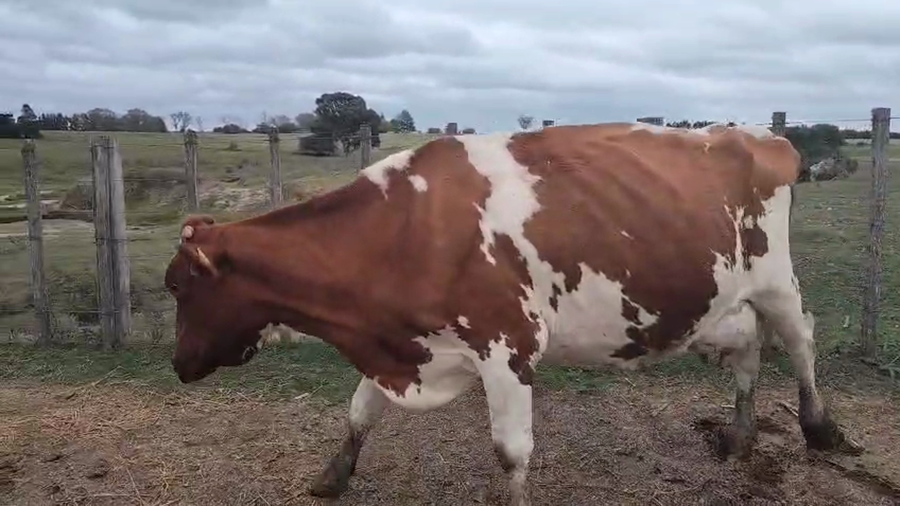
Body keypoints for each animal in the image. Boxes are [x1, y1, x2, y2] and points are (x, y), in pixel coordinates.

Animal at [165, 122, 858, 506]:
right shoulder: (402, 340)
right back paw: (739, 434)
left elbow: (511, 450)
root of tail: (757, 134)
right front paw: (333, 476)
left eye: (180, 289)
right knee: (748, 350)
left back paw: (820, 429)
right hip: (726, 297)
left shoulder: (508, 345)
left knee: (800, 342)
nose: (178, 364)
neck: (406, 229)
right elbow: (360, 409)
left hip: (777, 280)